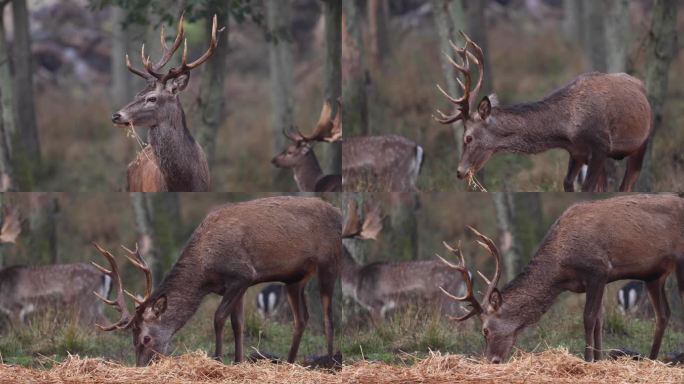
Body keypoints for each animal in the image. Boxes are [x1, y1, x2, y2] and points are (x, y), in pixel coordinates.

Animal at [92, 196, 342, 368]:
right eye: (132, 340)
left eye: (146, 338)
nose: (141, 366)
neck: (205, 272)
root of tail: (338, 212)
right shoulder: (237, 286)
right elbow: (238, 324)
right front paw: (238, 362)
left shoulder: (242, 275)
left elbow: (219, 318)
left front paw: (219, 359)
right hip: (294, 279)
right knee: (302, 318)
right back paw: (289, 363)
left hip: (328, 260)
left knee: (328, 316)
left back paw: (331, 362)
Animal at [432, 31, 652, 192]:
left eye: (468, 137)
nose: (459, 171)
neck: (568, 128)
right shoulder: (577, 151)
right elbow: (567, 183)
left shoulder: (601, 145)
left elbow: (588, 187)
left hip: (642, 142)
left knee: (627, 183)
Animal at [438, 195, 684, 364]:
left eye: (485, 330)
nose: (491, 360)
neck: (560, 271)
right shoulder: (597, 281)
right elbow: (600, 320)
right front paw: (599, 360)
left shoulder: (598, 270)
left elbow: (589, 318)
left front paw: (588, 360)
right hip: (653, 276)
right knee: (663, 314)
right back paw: (652, 360)